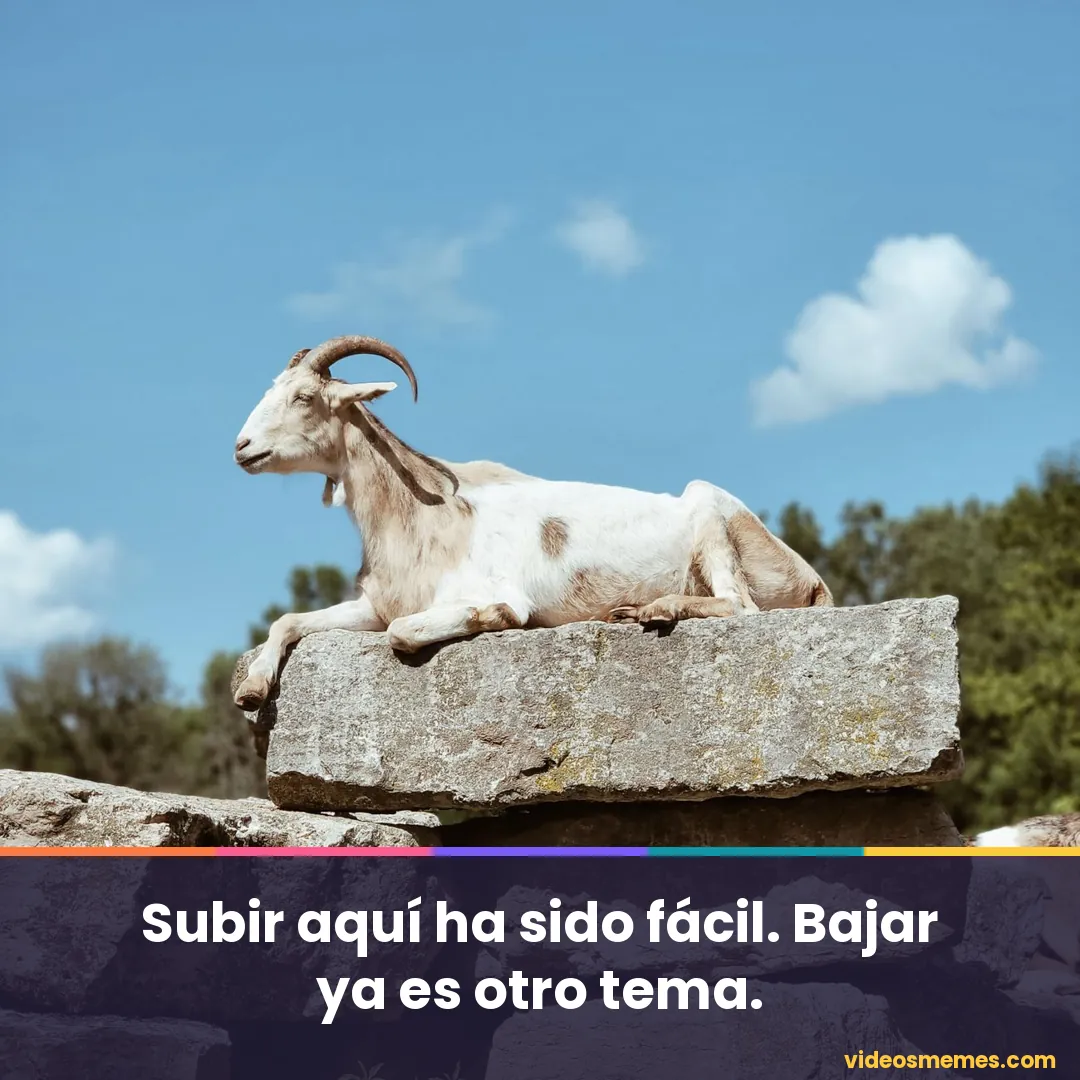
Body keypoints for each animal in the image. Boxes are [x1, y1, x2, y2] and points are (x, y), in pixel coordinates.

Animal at [232, 336, 833, 710]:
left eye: (304, 397)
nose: (242, 447)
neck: (426, 517)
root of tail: (812, 582)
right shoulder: (374, 607)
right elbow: (289, 621)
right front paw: (252, 691)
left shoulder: (470, 592)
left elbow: (406, 632)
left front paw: (498, 618)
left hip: (709, 509)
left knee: (740, 604)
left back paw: (656, 608)